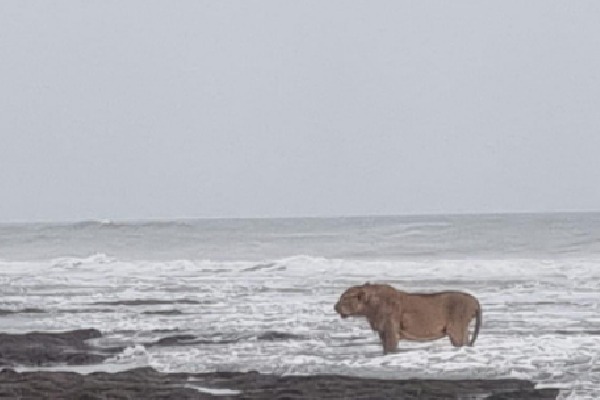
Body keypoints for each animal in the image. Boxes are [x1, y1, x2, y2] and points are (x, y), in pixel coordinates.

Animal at [332, 282, 482, 354]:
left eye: (344, 298)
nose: (335, 306)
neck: (369, 307)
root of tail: (474, 300)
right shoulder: (382, 331)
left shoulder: (390, 330)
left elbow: (390, 348)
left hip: (456, 329)